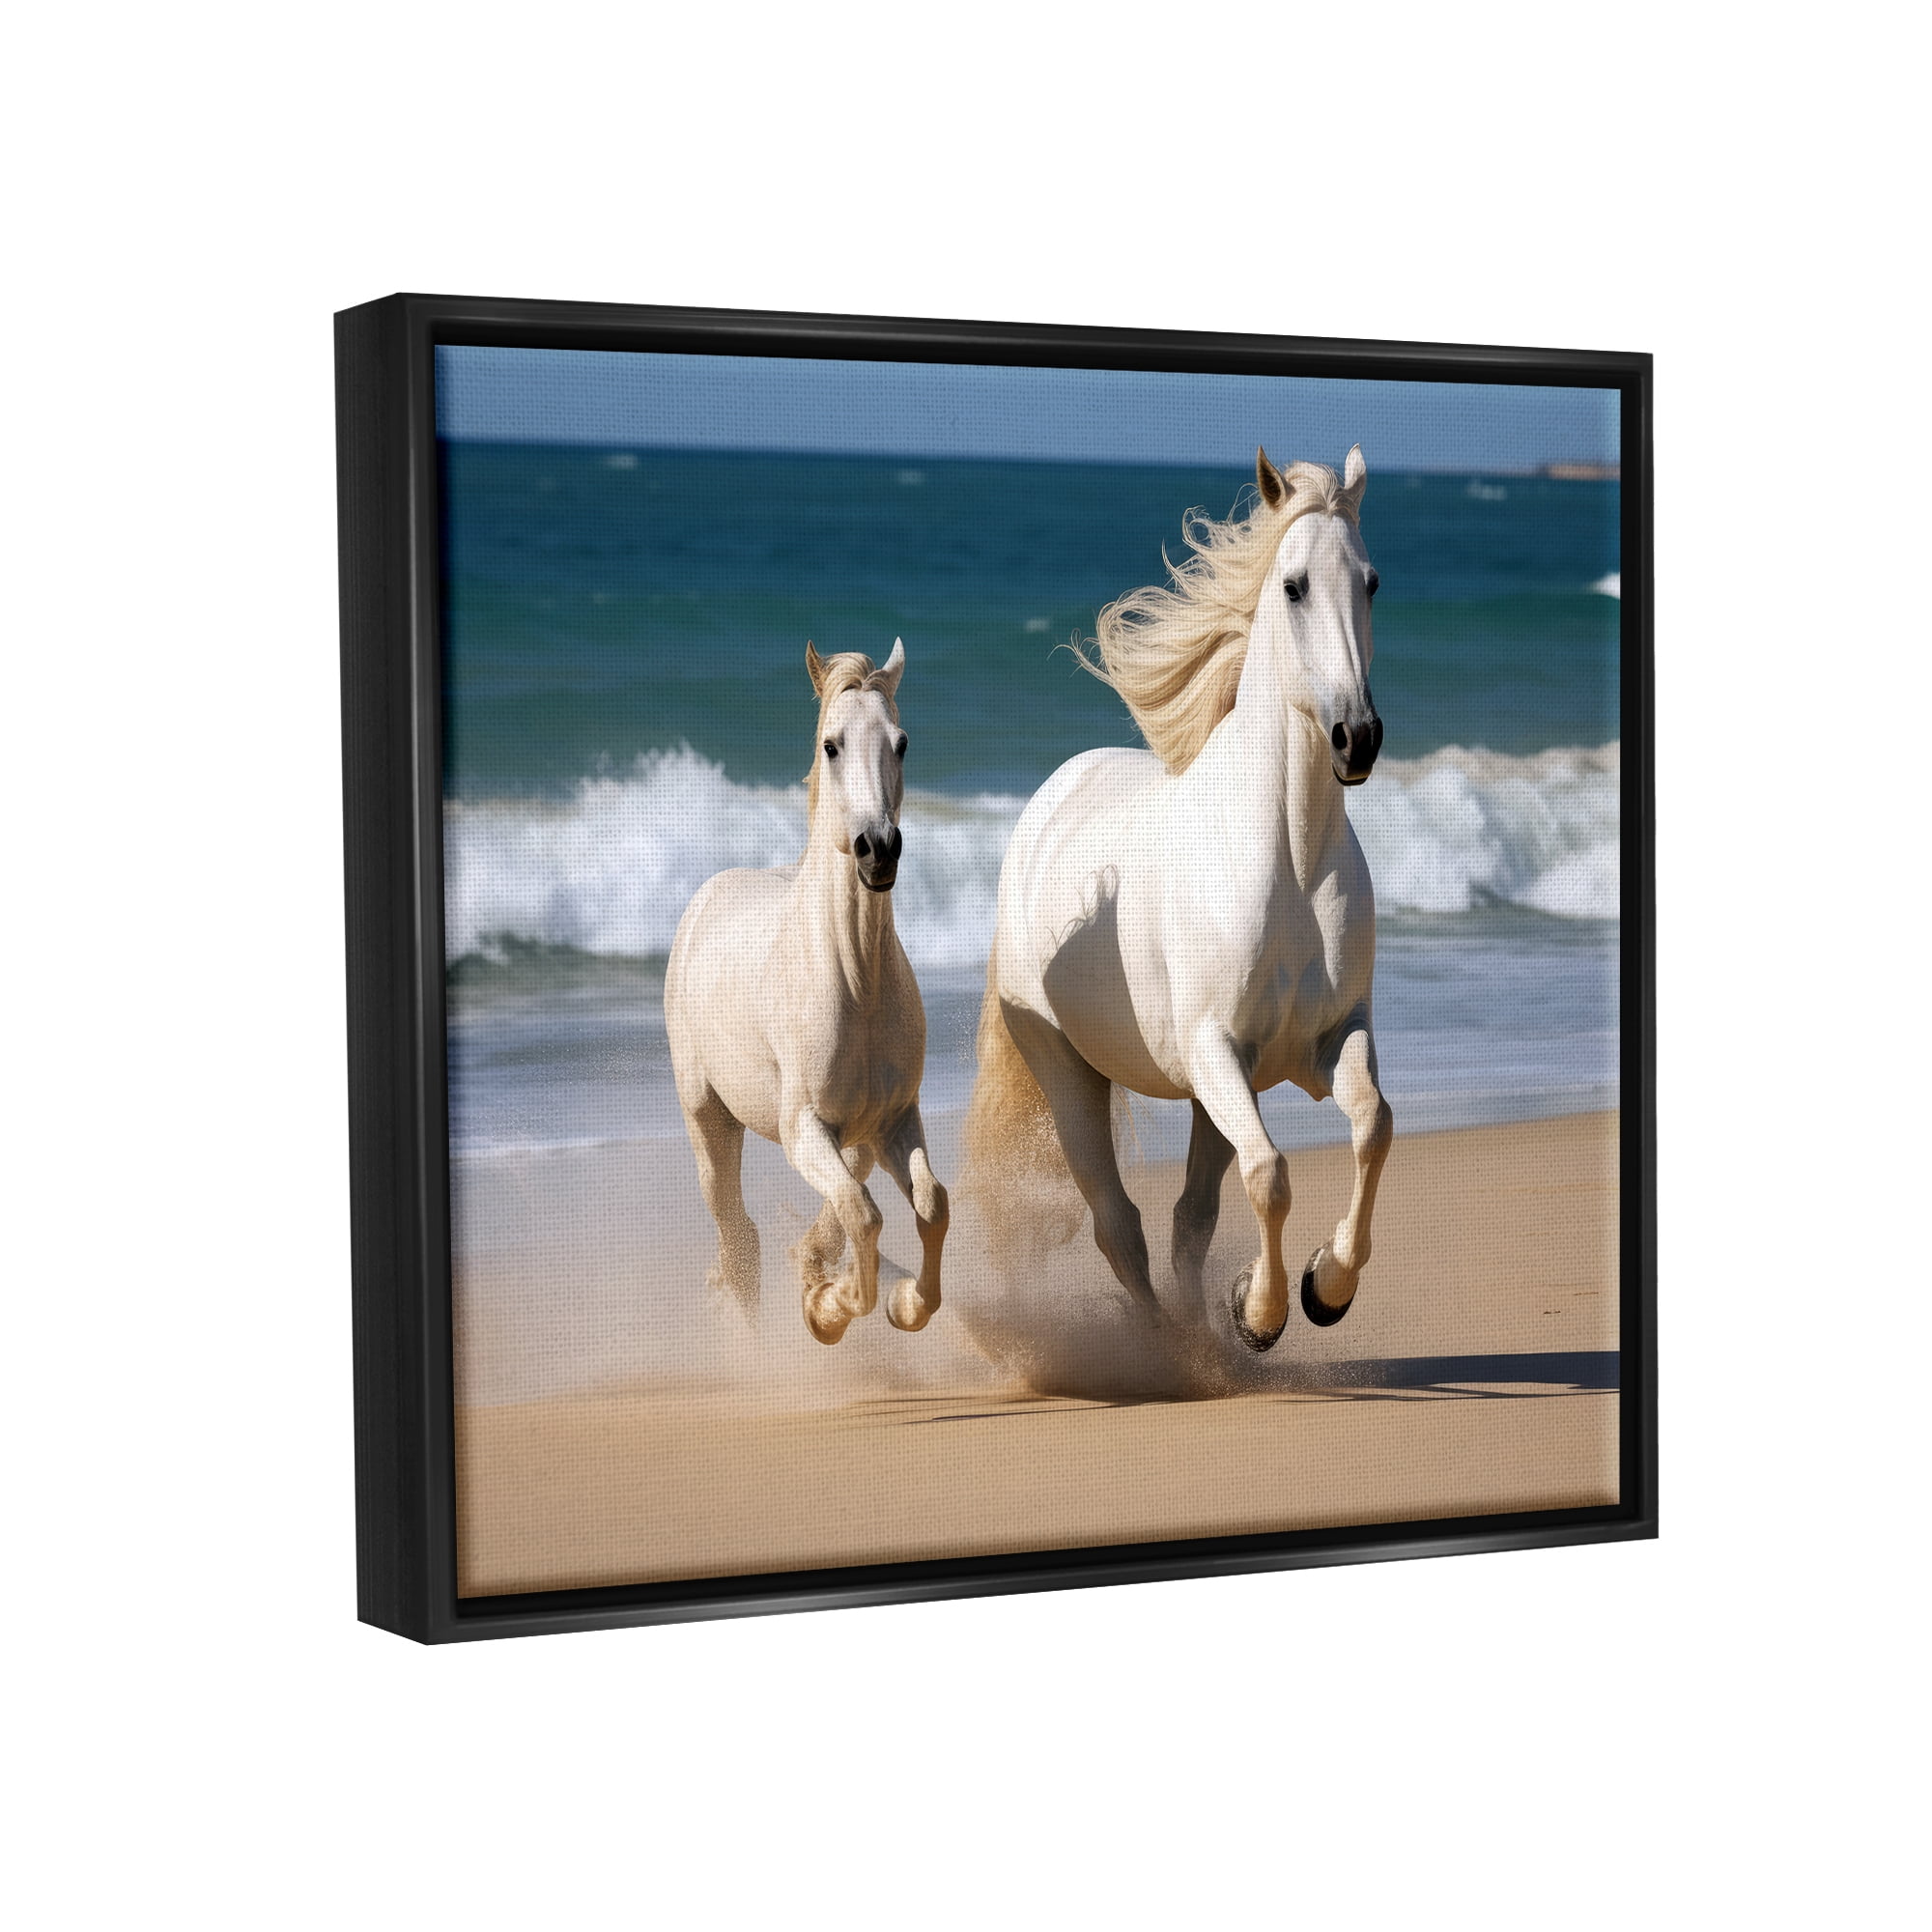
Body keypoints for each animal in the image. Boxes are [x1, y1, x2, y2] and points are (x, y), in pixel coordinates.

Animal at [664, 639, 949, 1345]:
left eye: (902, 743)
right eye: (832, 745)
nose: (878, 850)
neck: (855, 981)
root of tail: (706, 896)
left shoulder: (894, 1121)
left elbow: (929, 1205)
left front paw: (902, 1304)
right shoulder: (803, 1131)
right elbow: (865, 1215)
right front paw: (828, 1308)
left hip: (858, 1137)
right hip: (709, 1119)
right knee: (738, 1235)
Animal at [964, 446, 1393, 1353]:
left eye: (1371, 582)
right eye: (1294, 585)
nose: (1357, 739)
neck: (1288, 861)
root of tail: (1047, 803)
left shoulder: (1328, 1039)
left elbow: (1372, 1128)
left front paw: (1323, 1289)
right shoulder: (1215, 1053)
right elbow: (1270, 1174)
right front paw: (1262, 1314)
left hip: (1207, 1095)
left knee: (1186, 1217)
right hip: (1069, 1073)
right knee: (1116, 1221)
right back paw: (1171, 1351)